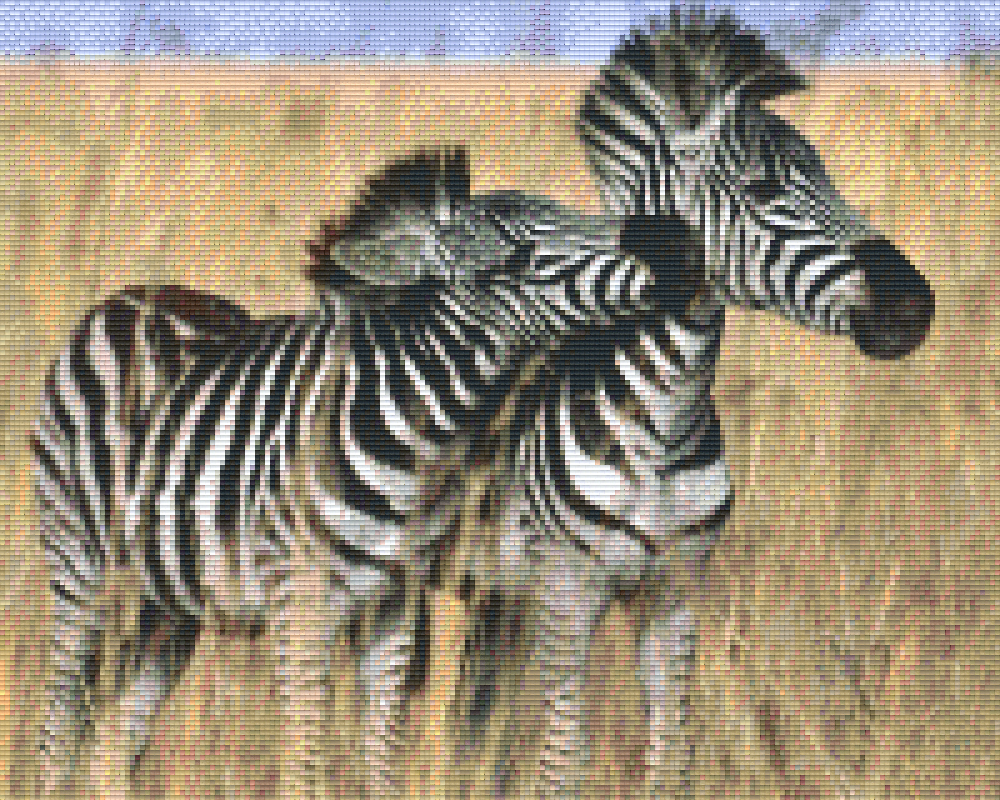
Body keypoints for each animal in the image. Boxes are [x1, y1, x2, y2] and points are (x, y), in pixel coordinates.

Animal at [32, 146, 673, 798]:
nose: (664, 244)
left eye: (569, 211)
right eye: (517, 259)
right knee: (62, 714)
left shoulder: (396, 604)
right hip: (81, 562)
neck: (414, 437)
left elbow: (383, 749)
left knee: (120, 729)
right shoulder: (298, 603)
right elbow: (306, 754)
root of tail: (133, 294)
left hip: (172, 597)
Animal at [452, 7, 935, 799]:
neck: (662, 424)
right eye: (763, 188)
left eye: (828, 174)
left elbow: (672, 753)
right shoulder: (567, 592)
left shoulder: (674, 591)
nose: (914, 306)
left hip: (498, 603)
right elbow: (563, 760)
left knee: (474, 727)